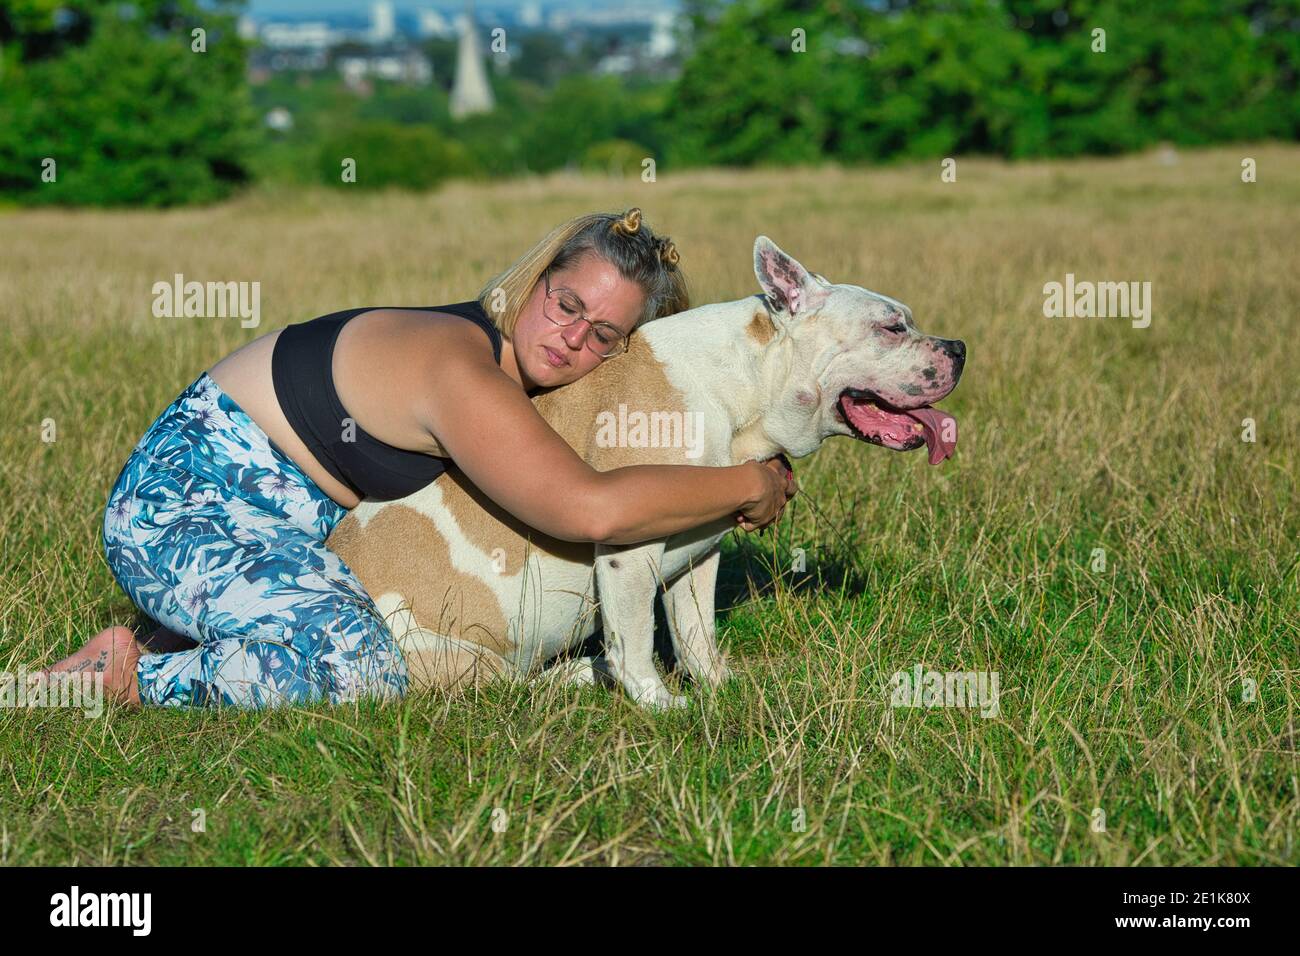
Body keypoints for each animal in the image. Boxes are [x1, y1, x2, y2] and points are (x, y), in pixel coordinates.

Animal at [327, 235, 967, 707]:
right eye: (891, 327)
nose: (959, 348)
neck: (748, 384)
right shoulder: (627, 550)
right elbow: (636, 641)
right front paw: (661, 706)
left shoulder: (699, 553)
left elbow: (696, 635)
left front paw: (718, 686)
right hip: (456, 660)